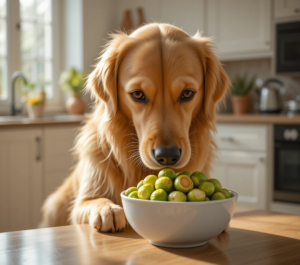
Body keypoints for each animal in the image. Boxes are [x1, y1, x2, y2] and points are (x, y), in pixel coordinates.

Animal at [39, 23, 230, 232]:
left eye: (187, 93)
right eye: (137, 94)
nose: (167, 156)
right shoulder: (83, 201)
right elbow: (93, 201)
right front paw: (107, 209)